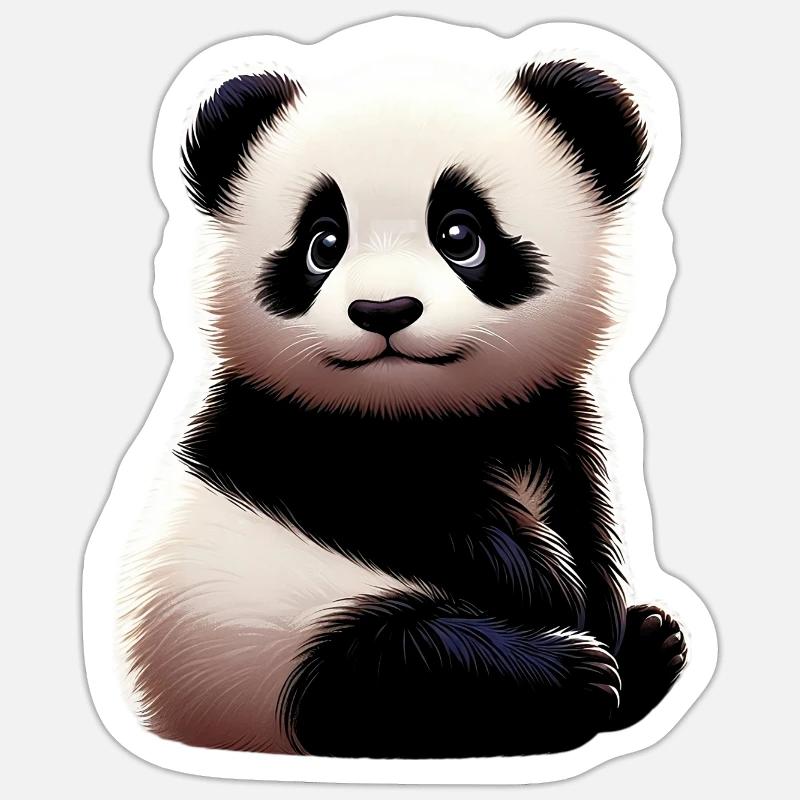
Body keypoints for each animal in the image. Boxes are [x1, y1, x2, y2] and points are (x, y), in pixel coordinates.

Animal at [117, 24, 687, 759]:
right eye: (322, 243)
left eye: (460, 234)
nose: (383, 310)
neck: (422, 412)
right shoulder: (283, 431)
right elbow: (396, 509)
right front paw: (546, 585)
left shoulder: (552, 419)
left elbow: (586, 518)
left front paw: (595, 600)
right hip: (255, 641)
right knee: (391, 670)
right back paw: (576, 676)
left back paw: (648, 646)